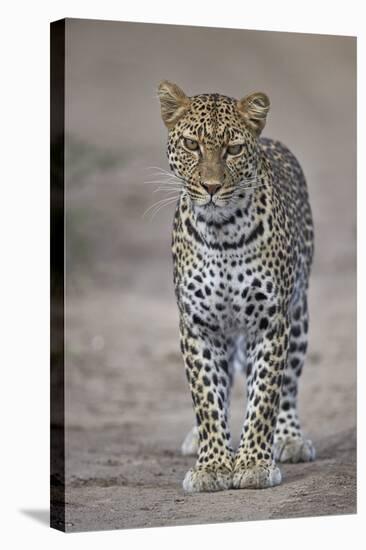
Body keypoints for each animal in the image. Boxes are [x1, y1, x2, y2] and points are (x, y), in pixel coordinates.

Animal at [157, 78, 314, 496]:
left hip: (299, 314)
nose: (211, 187)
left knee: (289, 386)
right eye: (191, 144)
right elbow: (207, 398)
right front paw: (212, 465)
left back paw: (289, 439)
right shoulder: (198, 326)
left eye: (234, 149)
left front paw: (254, 463)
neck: (222, 231)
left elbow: (265, 398)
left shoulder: (270, 323)